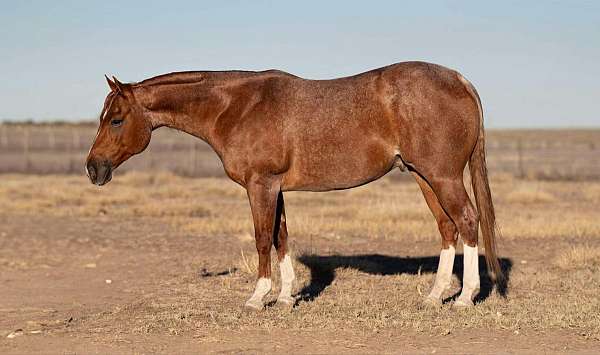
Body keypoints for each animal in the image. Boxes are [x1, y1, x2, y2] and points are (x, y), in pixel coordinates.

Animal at [86, 62, 504, 312]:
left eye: (117, 119)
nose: (93, 169)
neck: (236, 107)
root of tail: (459, 80)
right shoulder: (276, 188)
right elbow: (281, 237)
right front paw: (287, 297)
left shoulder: (261, 185)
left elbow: (261, 238)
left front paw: (258, 297)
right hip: (423, 175)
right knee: (448, 228)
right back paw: (434, 296)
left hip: (442, 176)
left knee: (468, 221)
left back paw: (465, 298)